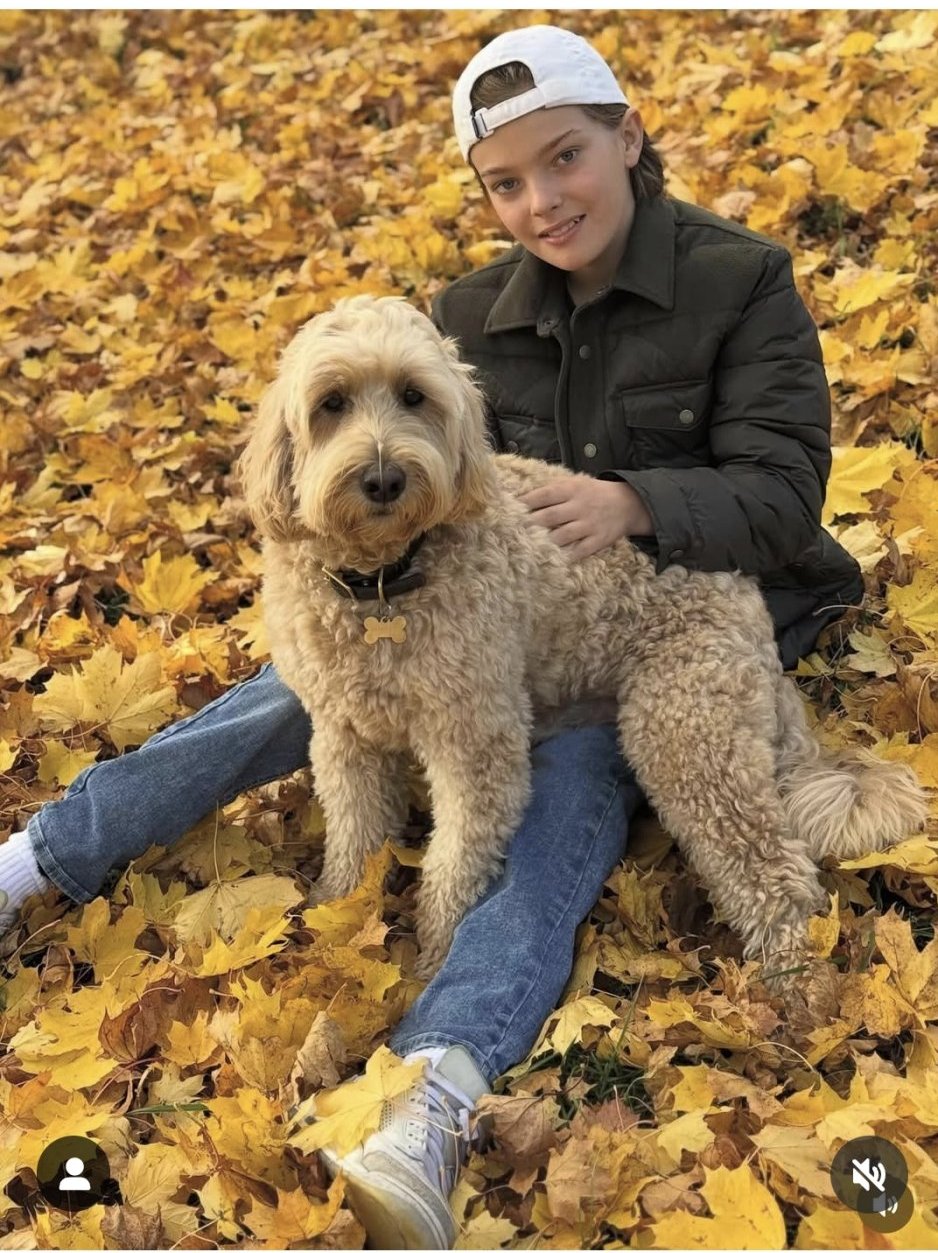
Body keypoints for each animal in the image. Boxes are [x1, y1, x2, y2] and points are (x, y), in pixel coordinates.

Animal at [237, 294, 929, 980]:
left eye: (414, 396)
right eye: (331, 403)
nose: (384, 479)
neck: (383, 583)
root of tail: (747, 599)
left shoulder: (476, 743)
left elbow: (455, 863)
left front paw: (432, 958)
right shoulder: (344, 734)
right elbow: (354, 837)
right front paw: (337, 917)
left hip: (685, 730)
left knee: (774, 869)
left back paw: (795, 982)